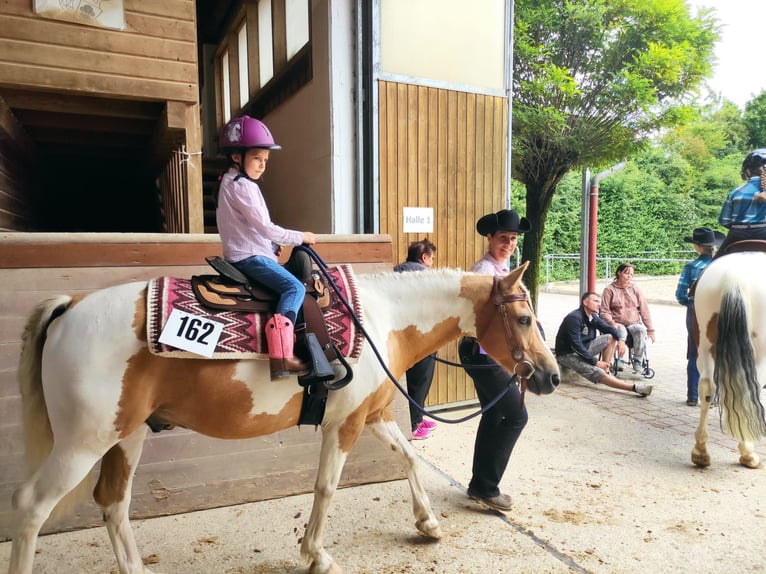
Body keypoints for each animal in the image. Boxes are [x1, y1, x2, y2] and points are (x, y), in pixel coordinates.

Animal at [7, 261, 560, 574]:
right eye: (525, 318)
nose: (550, 376)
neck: (383, 320)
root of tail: (71, 306)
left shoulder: (374, 414)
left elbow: (408, 458)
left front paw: (427, 523)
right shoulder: (344, 425)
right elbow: (326, 487)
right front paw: (316, 555)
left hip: (126, 436)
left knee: (113, 503)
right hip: (83, 443)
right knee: (32, 507)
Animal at [692, 251, 766, 469]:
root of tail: (734, 277)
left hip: (705, 345)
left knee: (707, 387)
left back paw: (700, 451)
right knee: (750, 391)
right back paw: (748, 452)